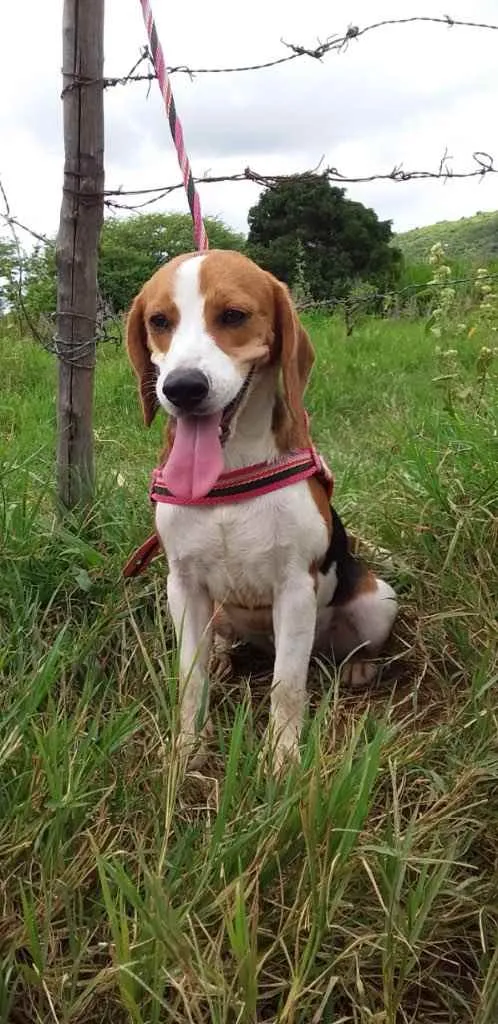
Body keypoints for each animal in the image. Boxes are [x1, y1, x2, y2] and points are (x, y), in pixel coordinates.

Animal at [126, 249, 399, 770]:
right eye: (159, 321)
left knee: (345, 648)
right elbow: (190, 680)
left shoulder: (294, 587)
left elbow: (287, 686)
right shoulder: (182, 586)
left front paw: (283, 760)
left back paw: (358, 667)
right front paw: (187, 749)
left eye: (233, 316)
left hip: (379, 600)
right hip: (216, 612)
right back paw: (222, 656)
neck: (230, 469)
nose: (182, 388)